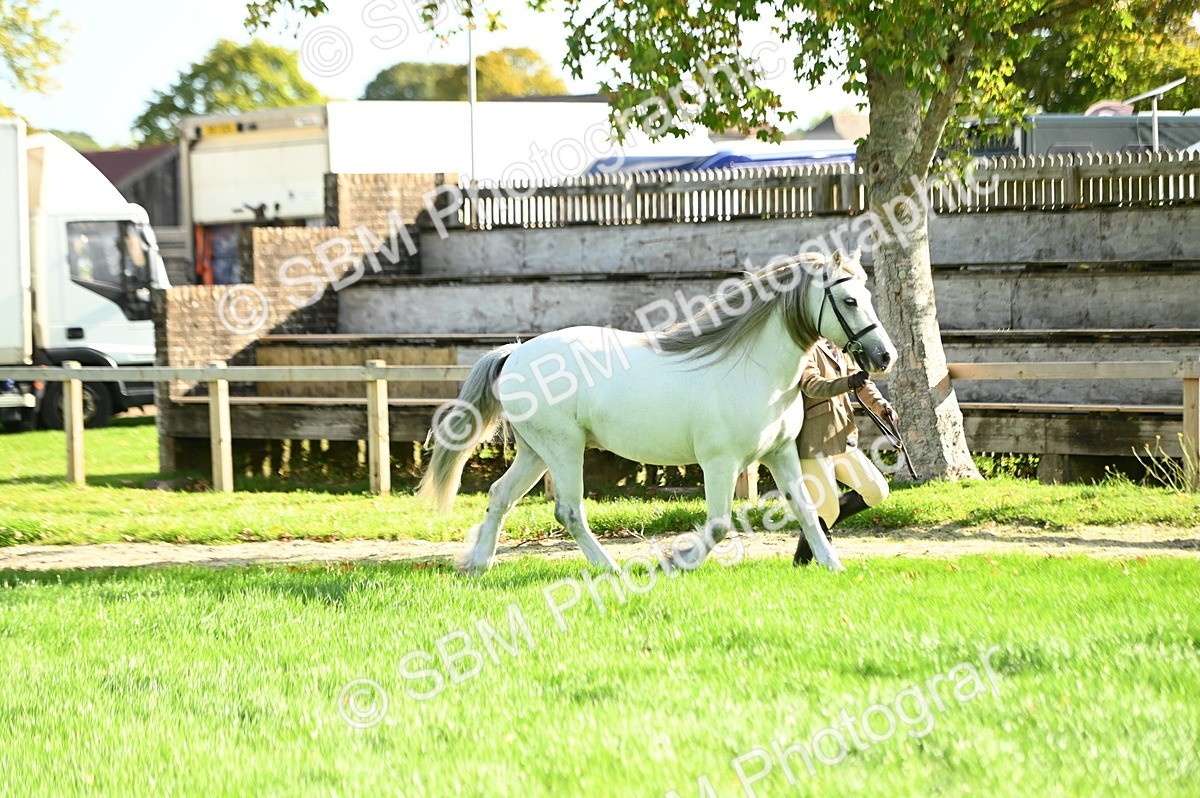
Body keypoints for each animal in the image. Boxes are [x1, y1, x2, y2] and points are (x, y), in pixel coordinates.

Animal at [418, 249, 897, 574]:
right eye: (850, 301)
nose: (885, 356)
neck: (754, 369)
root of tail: (514, 354)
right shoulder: (720, 462)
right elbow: (719, 525)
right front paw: (677, 560)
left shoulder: (780, 454)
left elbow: (807, 509)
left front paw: (832, 565)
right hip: (563, 449)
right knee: (568, 511)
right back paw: (609, 568)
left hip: (537, 451)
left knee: (500, 495)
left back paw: (479, 564)